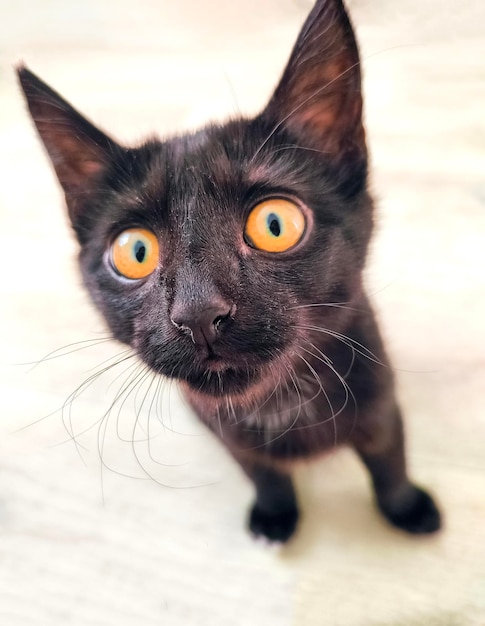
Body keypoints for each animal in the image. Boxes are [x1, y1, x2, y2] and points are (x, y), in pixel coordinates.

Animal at [18, 0, 438, 540]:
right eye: (135, 251)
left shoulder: (381, 400)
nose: (198, 313)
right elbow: (261, 471)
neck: (279, 402)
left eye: (275, 225)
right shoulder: (222, 428)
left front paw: (405, 508)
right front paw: (276, 514)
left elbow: (389, 460)